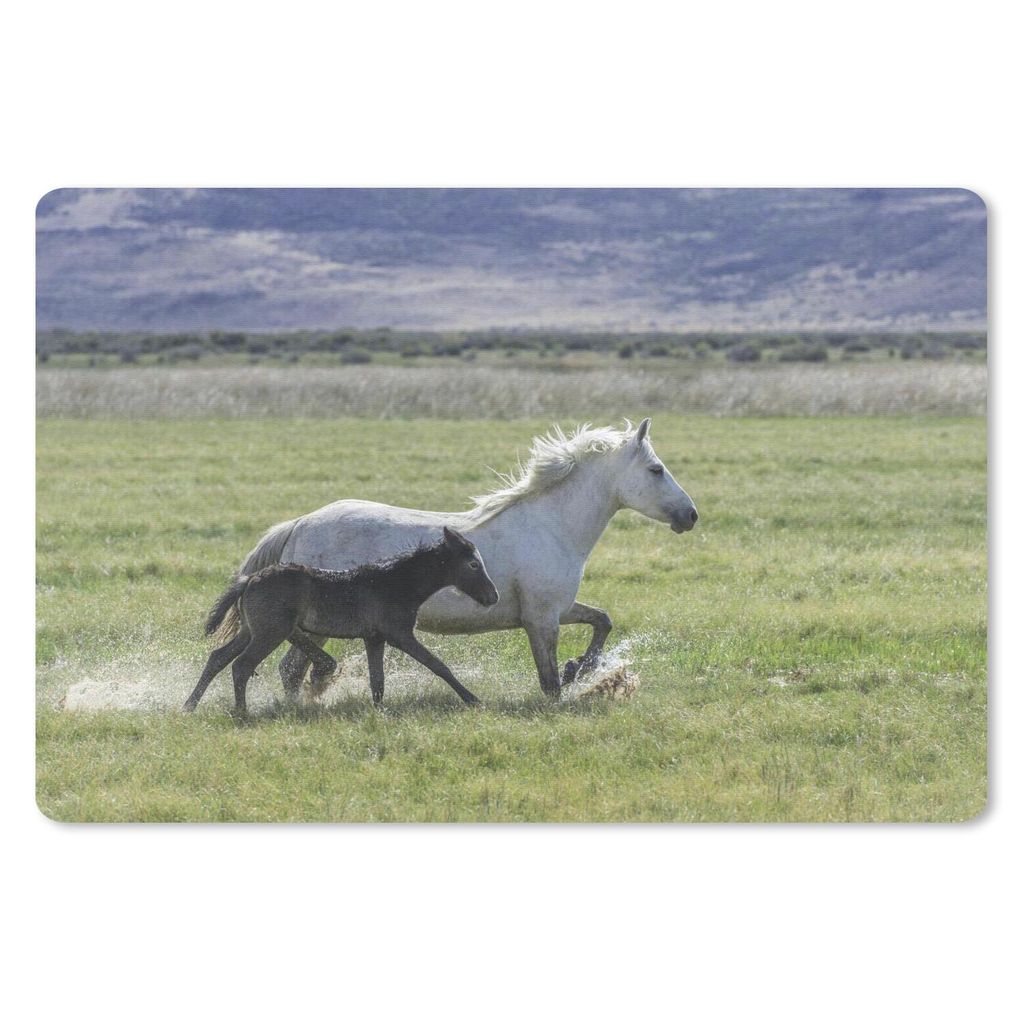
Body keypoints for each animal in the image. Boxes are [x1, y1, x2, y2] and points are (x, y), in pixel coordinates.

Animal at [184, 527, 499, 714]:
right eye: (473, 564)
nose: (492, 596)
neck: (397, 582)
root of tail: (248, 580)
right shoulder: (399, 634)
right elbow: (437, 664)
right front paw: (472, 699)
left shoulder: (374, 638)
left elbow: (377, 679)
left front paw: (378, 710)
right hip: (270, 632)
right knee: (242, 665)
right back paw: (241, 712)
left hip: (251, 630)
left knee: (218, 657)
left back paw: (189, 705)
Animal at [215, 417, 697, 697]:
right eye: (656, 470)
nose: (691, 515)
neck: (552, 526)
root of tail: (298, 524)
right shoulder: (541, 618)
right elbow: (548, 681)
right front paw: (569, 678)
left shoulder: (557, 609)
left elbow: (602, 621)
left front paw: (580, 667)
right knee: (290, 668)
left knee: (292, 669)